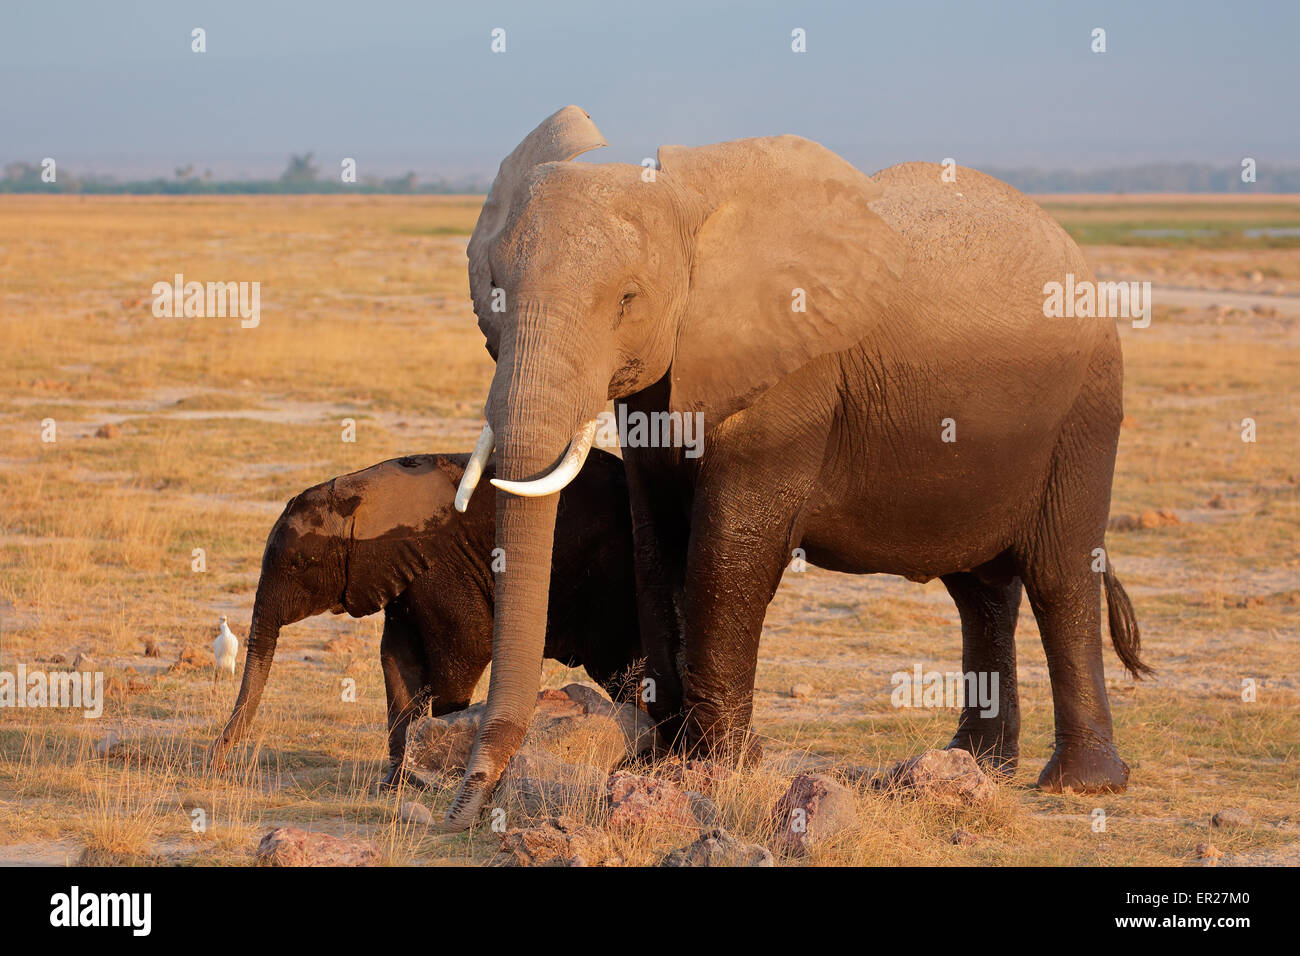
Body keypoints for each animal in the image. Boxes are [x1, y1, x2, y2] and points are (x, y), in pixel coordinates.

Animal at [210, 447, 642, 785]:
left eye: (300, 563)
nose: (219, 763)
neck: (361, 492)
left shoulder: (443, 566)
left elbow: (464, 652)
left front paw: (440, 767)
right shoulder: (402, 574)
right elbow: (399, 662)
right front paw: (396, 782)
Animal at [449, 106, 1149, 832]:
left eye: (627, 298)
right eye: (494, 290)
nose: (464, 807)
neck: (689, 202)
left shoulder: (792, 372)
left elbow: (728, 552)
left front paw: (718, 766)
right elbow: (657, 548)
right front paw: (666, 762)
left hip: (1087, 407)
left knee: (1060, 575)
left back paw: (1081, 785)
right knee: (981, 591)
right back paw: (976, 765)